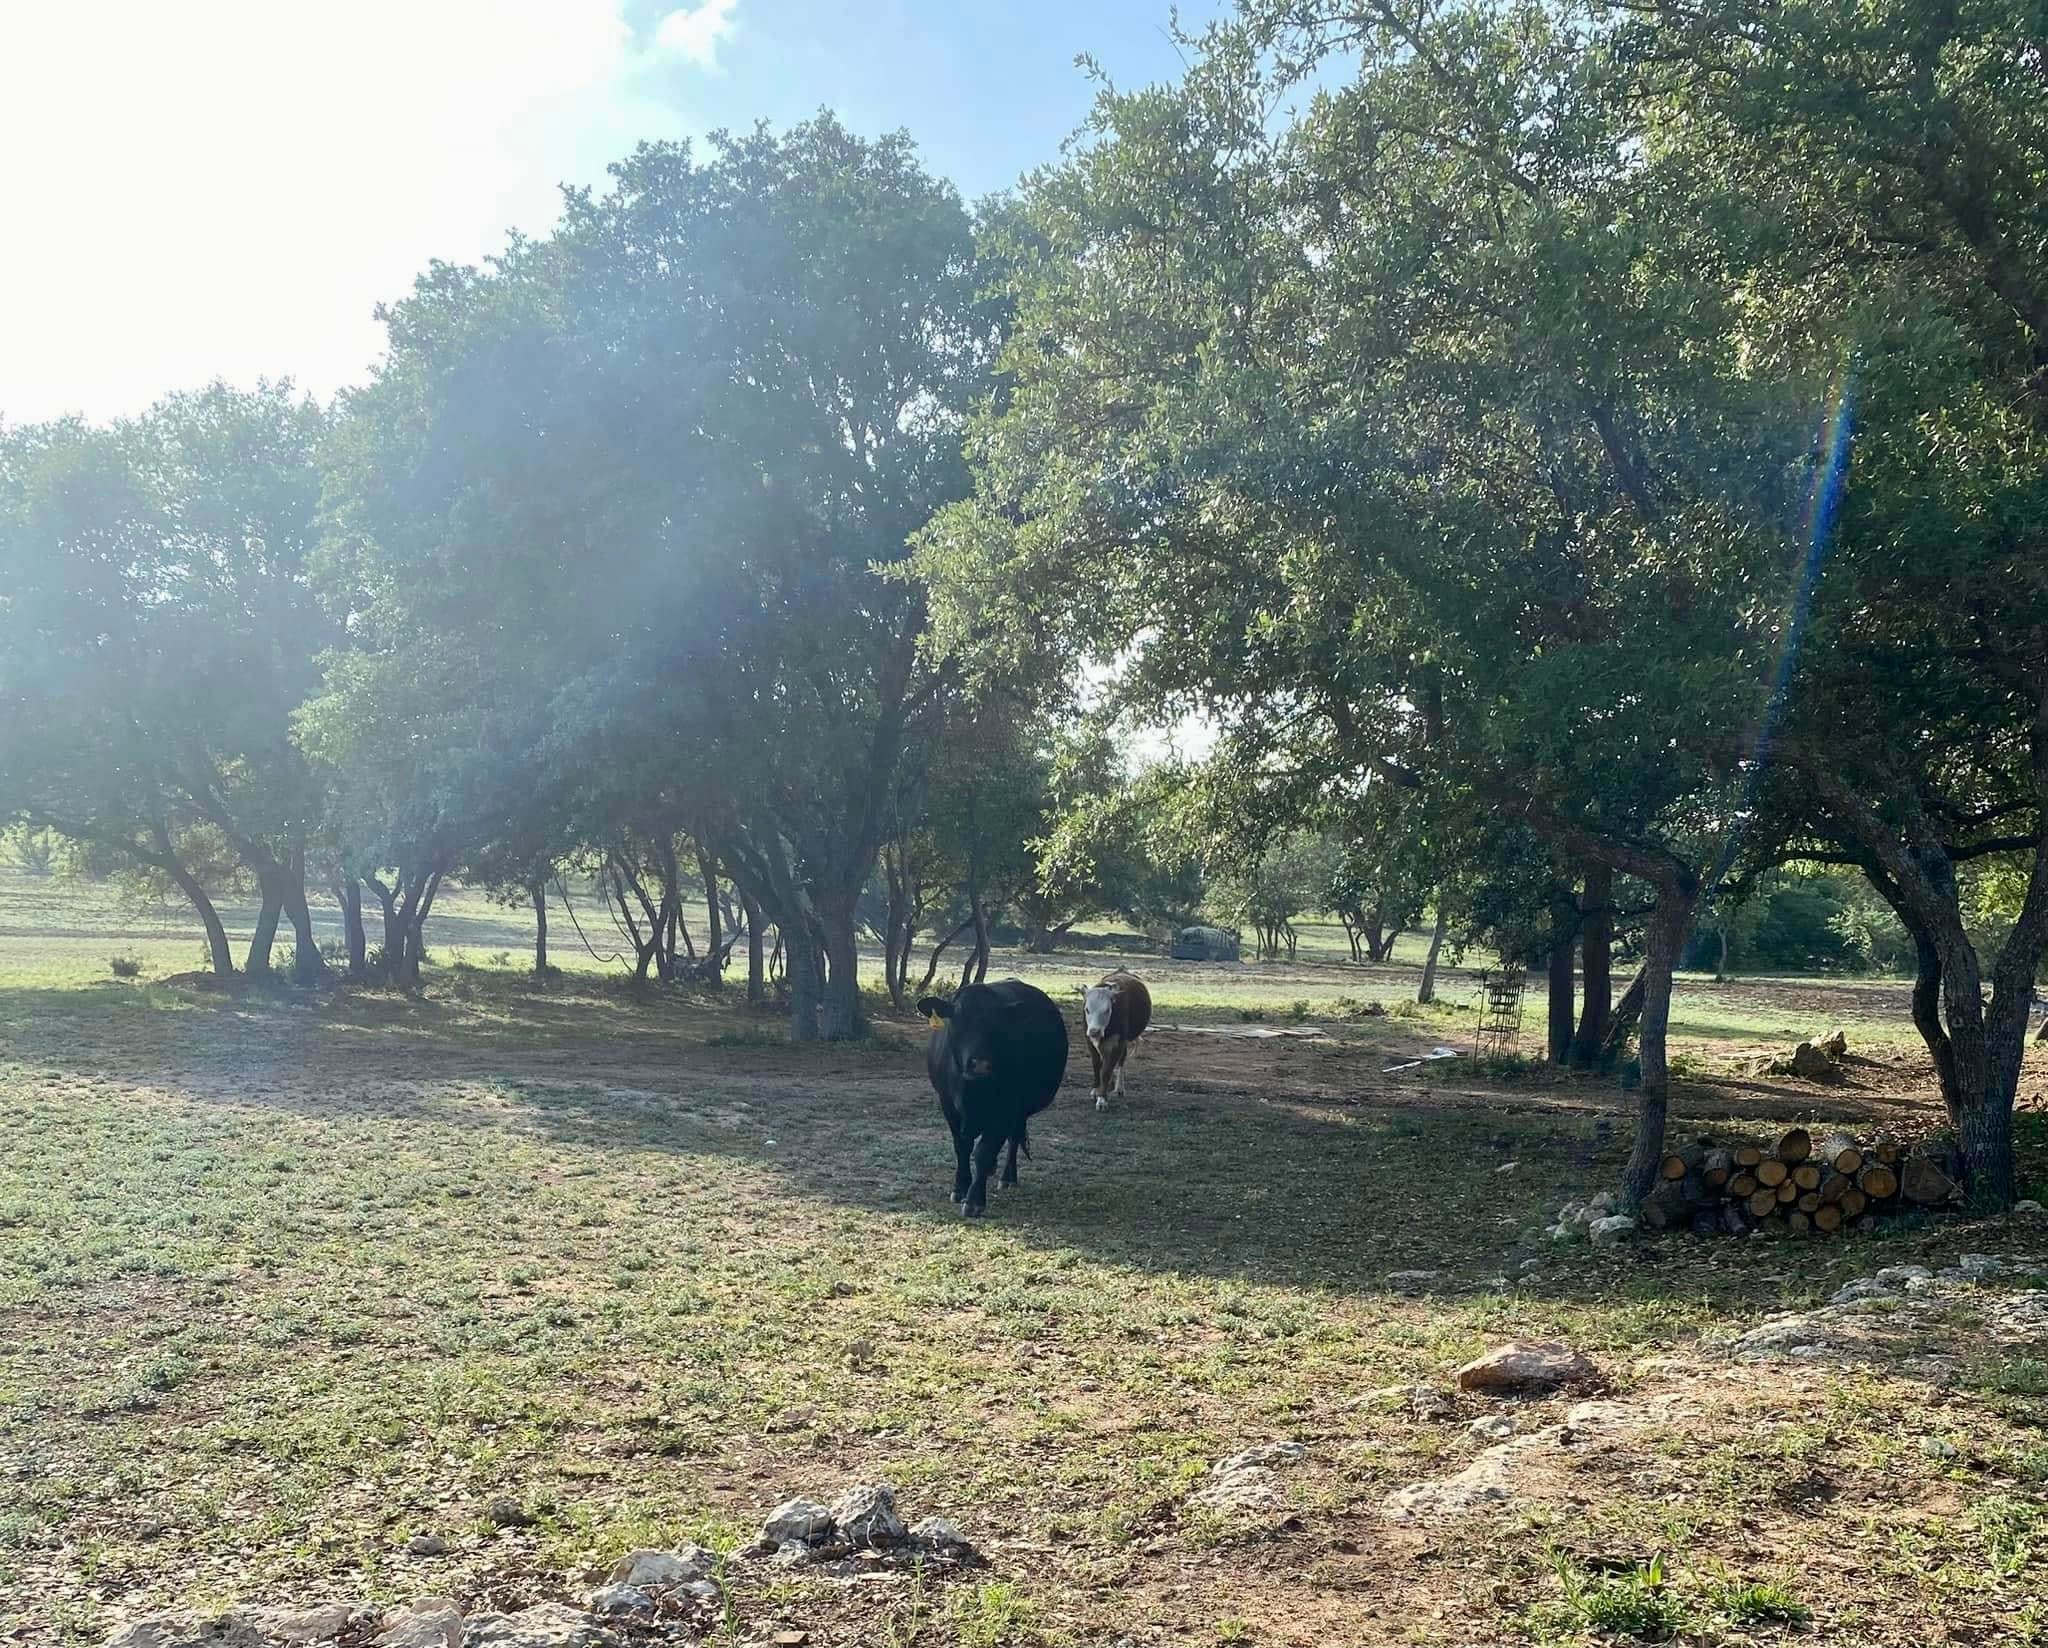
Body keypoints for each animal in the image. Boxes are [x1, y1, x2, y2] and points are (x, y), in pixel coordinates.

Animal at [917, 980, 1070, 1217]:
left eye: (997, 1023)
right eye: (958, 1017)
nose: (980, 1064)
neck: (971, 1090)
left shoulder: (1005, 1109)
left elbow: (984, 1151)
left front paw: (974, 1200)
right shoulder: (948, 1105)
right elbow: (962, 1146)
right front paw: (960, 1187)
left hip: (1020, 1110)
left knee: (1014, 1138)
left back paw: (1008, 1177)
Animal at [1082, 970, 1152, 1111]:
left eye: (1107, 1010)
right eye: (1087, 1009)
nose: (1094, 1031)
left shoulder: (1117, 1044)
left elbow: (1106, 1070)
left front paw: (1102, 1100)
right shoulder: (1090, 1042)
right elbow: (1096, 1065)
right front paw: (1096, 1090)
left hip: (1123, 1043)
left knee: (1121, 1061)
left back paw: (1119, 1088)